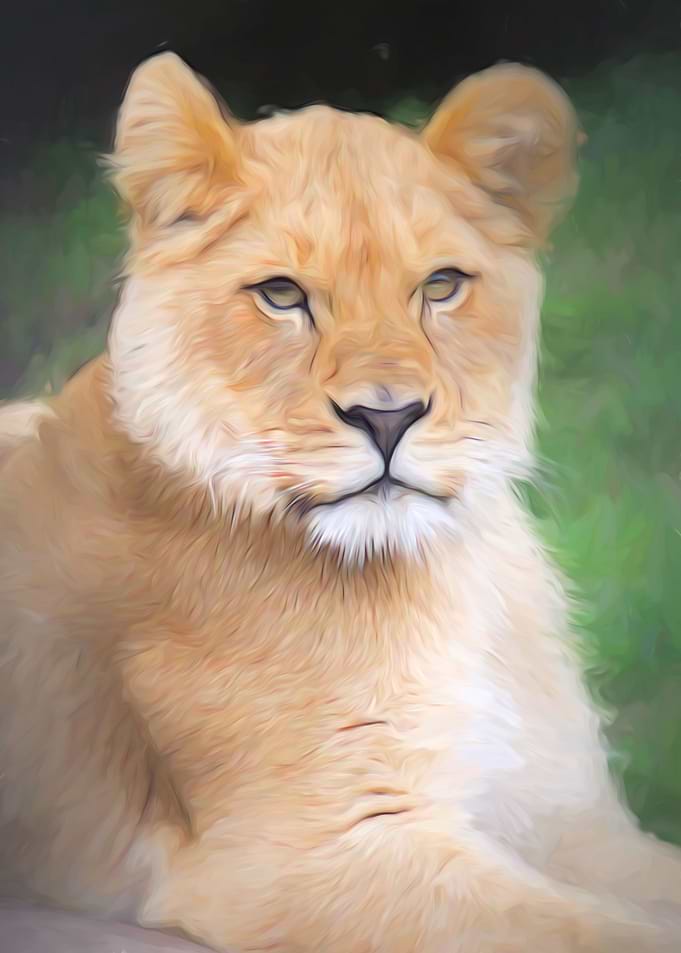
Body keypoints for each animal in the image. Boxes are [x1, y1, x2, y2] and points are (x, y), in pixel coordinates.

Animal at [0, 52, 680, 953]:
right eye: (282, 295)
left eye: (441, 285)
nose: (387, 416)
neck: (448, 573)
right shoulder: (305, 851)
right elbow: (591, 928)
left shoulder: (567, 817)